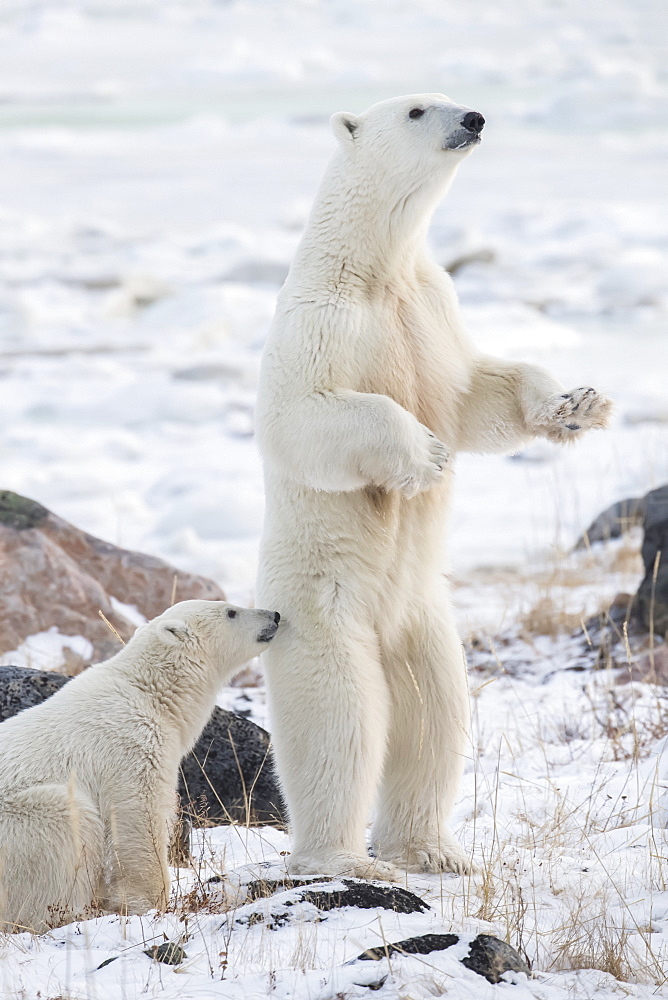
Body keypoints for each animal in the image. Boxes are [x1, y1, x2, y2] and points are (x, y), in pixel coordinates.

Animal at [0, 596, 280, 932]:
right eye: (231, 611)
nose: (275, 615)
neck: (148, 689)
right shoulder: (132, 742)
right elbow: (138, 816)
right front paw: (148, 902)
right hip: (22, 827)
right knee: (65, 818)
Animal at [256, 90, 612, 880]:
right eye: (419, 109)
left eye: (450, 96)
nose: (474, 118)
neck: (375, 268)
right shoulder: (321, 323)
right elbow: (307, 416)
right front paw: (425, 455)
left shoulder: (432, 307)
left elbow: (480, 391)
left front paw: (576, 405)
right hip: (322, 611)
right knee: (340, 719)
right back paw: (345, 859)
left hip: (425, 620)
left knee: (435, 712)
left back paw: (433, 849)